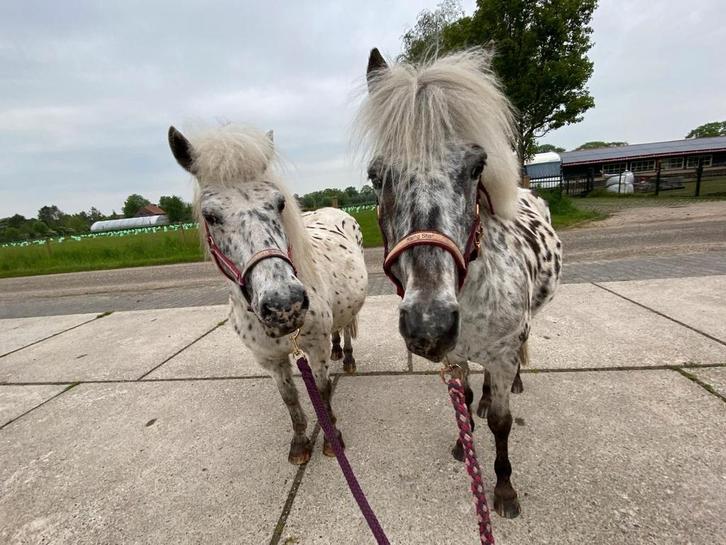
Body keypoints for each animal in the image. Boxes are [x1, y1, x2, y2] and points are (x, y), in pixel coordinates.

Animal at [167, 124, 368, 464]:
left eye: (280, 203)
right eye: (210, 216)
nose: (285, 306)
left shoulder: (315, 348)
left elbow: (323, 389)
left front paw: (332, 439)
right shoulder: (270, 360)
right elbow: (290, 398)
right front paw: (300, 443)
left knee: (345, 327)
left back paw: (348, 357)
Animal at [356, 48, 562, 518]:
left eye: (476, 167)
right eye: (377, 176)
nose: (429, 324)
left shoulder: (500, 354)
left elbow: (503, 422)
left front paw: (503, 489)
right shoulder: (456, 356)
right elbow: (463, 404)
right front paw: (462, 444)